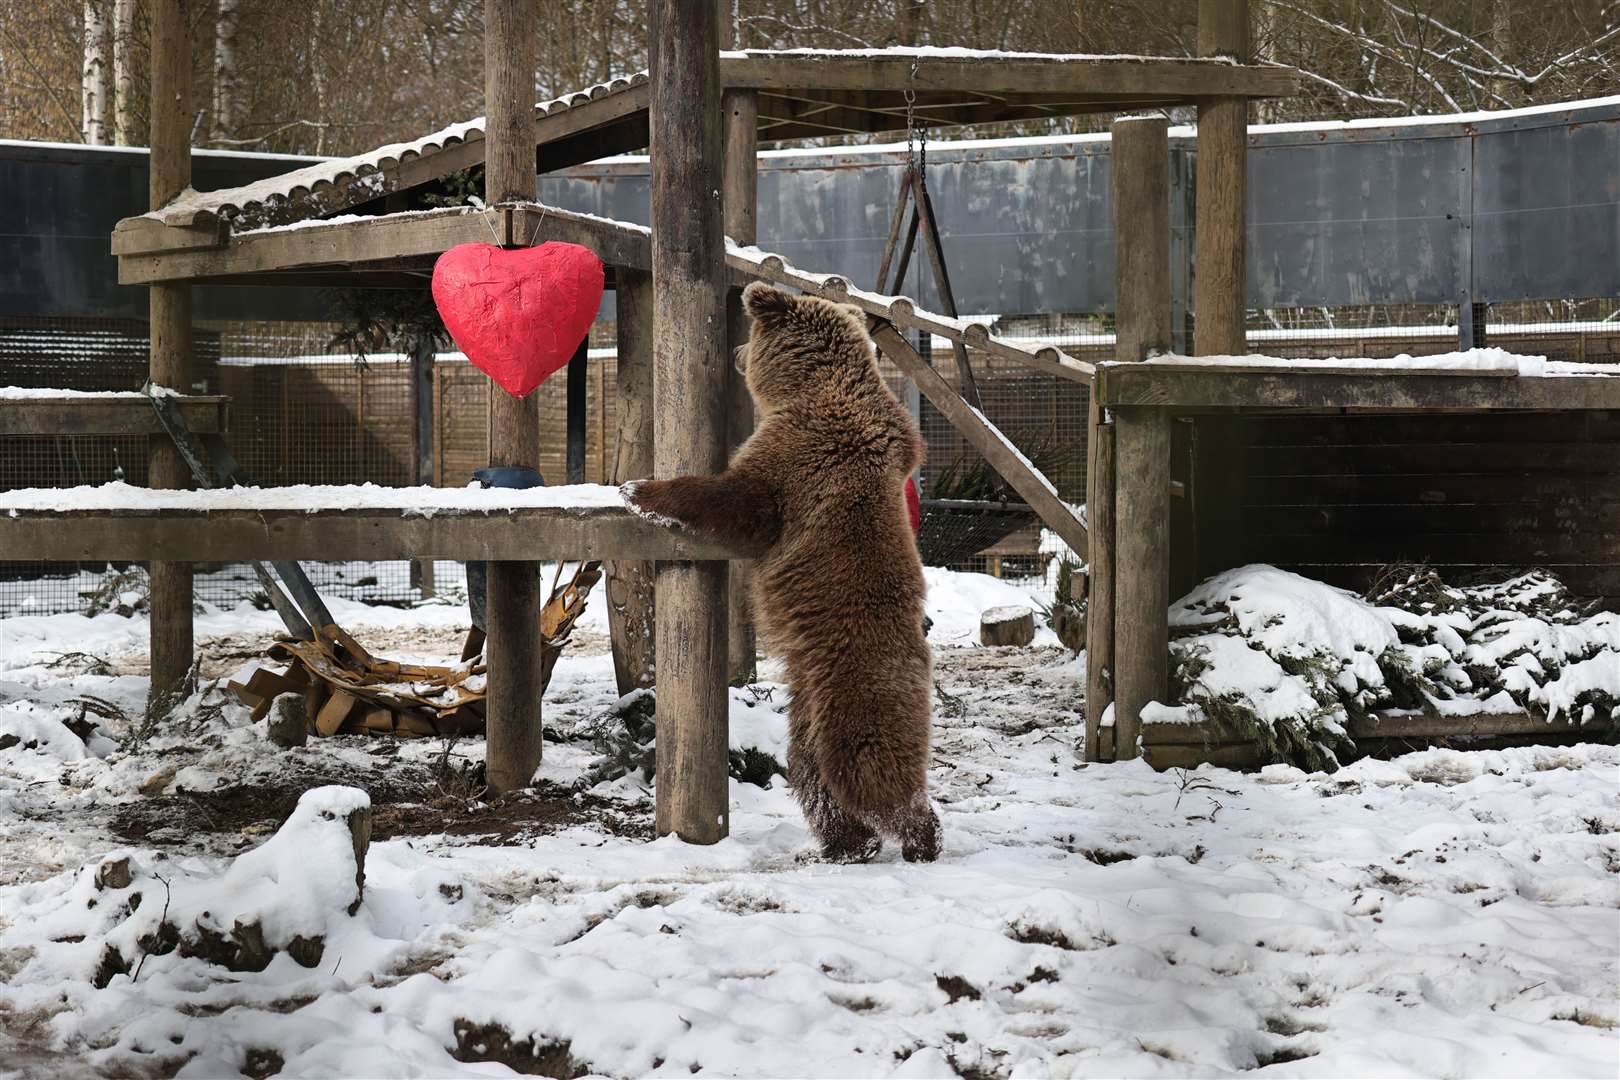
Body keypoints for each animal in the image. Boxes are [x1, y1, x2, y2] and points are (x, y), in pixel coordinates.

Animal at [625, 283, 946, 867]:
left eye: (750, 336)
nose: (735, 351)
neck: (814, 387)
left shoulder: (800, 456)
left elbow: (735, 499)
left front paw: (639, 490)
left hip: (854, 691)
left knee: (866, 769)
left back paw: (918, 837)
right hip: (809, 711)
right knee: (812, 774)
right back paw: (843, 846)